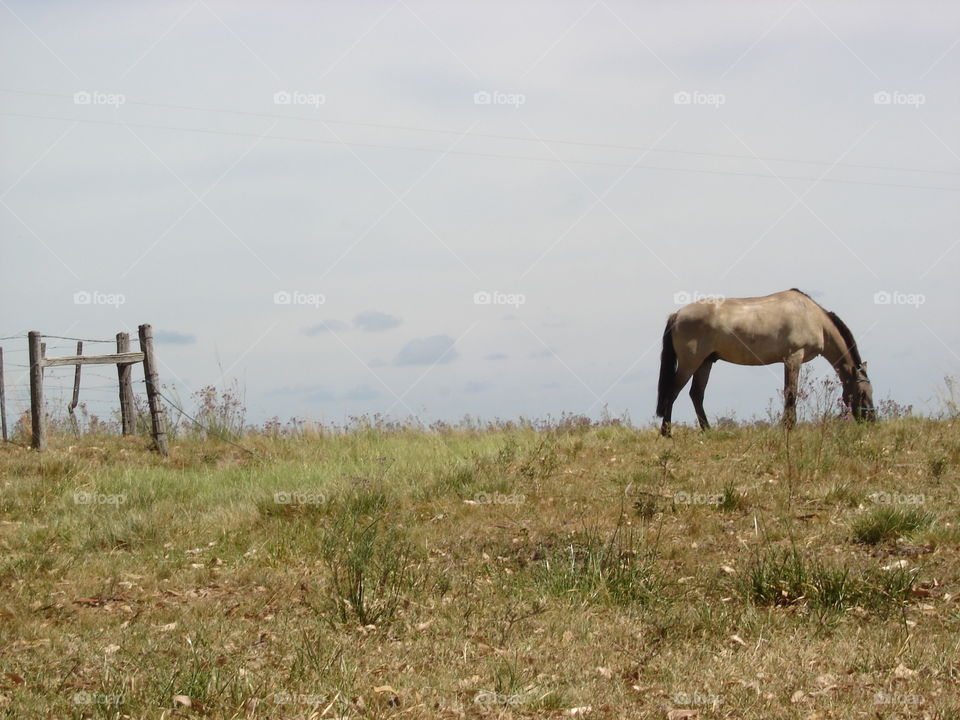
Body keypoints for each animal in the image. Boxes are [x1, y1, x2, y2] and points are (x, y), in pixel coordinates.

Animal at [656, 288, 872, 436]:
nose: (872, 420)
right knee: (673, 391)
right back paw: (667, 432)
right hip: (690, 362)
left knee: (696, 394)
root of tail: (677, 314)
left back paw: (707, 431)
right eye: (862, 393)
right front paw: (789, 427)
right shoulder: (794, 356)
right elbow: (791, 392)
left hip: (705, 362)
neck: (813, 317)